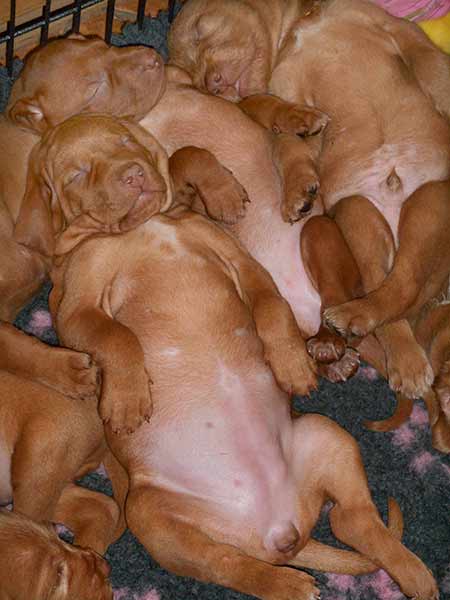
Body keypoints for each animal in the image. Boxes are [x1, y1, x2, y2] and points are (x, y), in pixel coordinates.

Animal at [18, 113, 440, 600]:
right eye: (77, 174)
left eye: (124, 141)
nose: (133, 174)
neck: (144, 228)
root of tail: (277, 528)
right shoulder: (75, 309)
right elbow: (114, 336)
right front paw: (126, 400)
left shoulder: (239, 260)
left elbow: (271, 305)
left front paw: (292, 362)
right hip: (151, 516)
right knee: (226, 565)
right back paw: (288, 585)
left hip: (325, 437)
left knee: (350, 520)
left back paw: (416, 576)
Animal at [168, 1, 450, 404]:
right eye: (189, 74)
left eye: (200, 30)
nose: (212, 86)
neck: (298, 27)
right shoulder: (285, 94)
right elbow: (287, 143)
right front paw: (298, 192)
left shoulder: (399, 32)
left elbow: (436, 70)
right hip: (357, 212)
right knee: (394, 292)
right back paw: (386, 346)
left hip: (432, 201)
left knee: (404, 285)